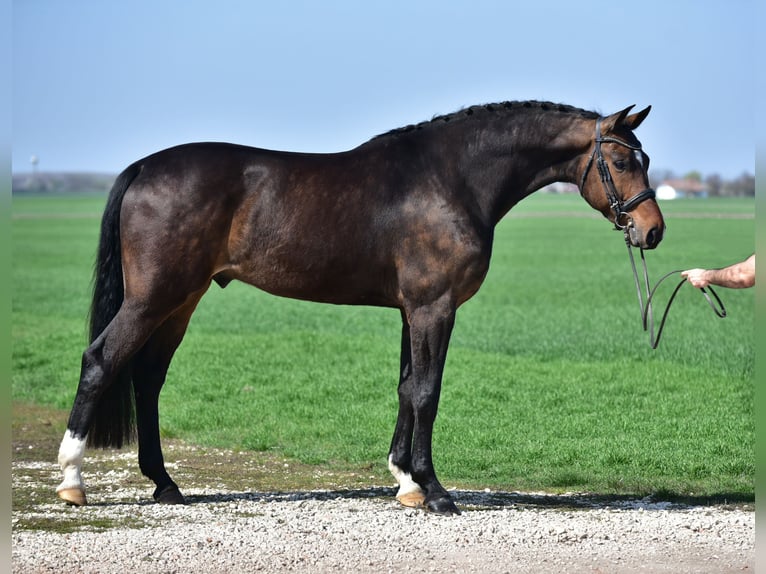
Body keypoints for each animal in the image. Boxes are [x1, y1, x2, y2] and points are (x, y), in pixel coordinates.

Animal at [56, 100, 665, 515]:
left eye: (645, 157)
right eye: (620, 160)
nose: (653, 230)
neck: (452, 178)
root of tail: (144, 167)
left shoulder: (410, 310)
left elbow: (405, 387)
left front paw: (406, 483)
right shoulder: (434, 308)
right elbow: (427, 392)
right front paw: (434, 491)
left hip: (181, 300)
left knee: (147, 378)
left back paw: (165, 484)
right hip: (152, 298)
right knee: (100, 362)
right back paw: (72, 481)